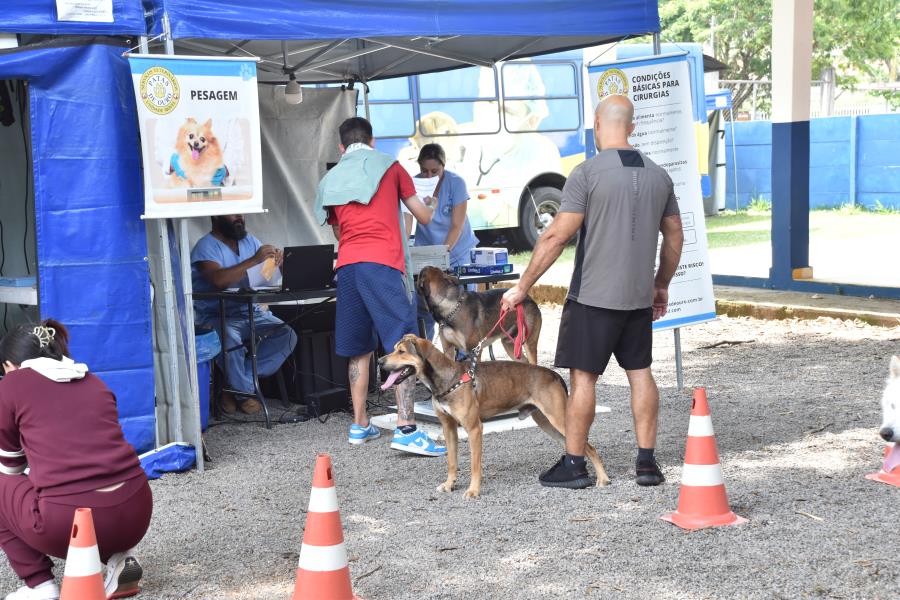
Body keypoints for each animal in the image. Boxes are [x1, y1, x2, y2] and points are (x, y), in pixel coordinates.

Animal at [376, 336, 608, 500]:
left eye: (401, 351)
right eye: (394, 349)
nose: (379, 361)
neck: (448, 379)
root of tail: (552, 373)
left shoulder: (474, 429)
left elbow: (474, 465)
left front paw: (473, 491)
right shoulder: (448, 427)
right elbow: (452, 462)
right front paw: (450, 484)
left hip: (558, 419)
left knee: (591, 448)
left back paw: (603, 479)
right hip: (546, 422)